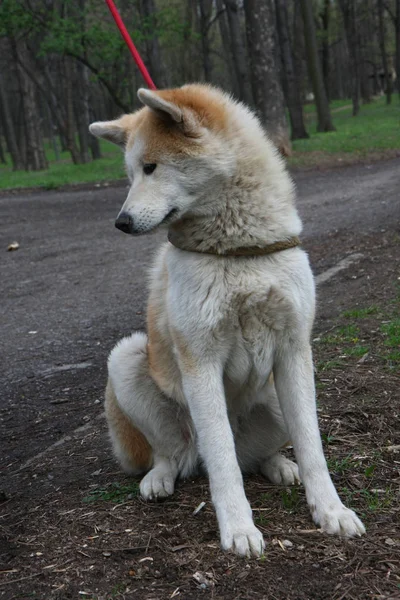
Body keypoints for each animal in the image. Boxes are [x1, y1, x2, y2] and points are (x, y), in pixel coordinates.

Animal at [90, 84, 366, 556]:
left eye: (151, 167)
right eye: (131, 174)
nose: (121, 222)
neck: (236, 249)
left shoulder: (294, 351)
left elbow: (313, 448)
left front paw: (331, 511)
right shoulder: (200, 361)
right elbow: (222, 464)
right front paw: (238, 527)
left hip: (276, 395)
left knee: (254, 456)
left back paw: (278, 464)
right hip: (127, 359)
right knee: (178, 455)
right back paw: (159, 477)